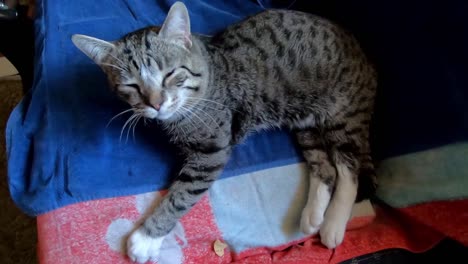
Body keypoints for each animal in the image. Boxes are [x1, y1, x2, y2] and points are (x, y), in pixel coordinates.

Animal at [72, 1, 376, 262]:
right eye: (132, 86)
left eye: (170, 74)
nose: (156, 104)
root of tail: (363, 55)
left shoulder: (211, 153)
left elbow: (181, 195)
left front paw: (146, 237)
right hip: (305, 125)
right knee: (324, 166)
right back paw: (312, 215)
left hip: (342, 116)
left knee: (348, 170)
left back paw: (333, 224)